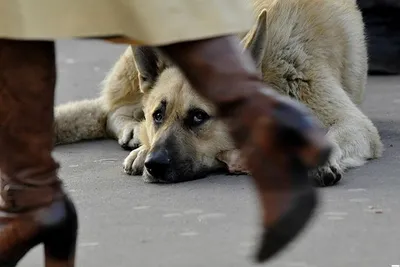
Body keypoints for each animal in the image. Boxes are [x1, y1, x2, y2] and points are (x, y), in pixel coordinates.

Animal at [53, 0, 382, 186]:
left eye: (199, 117)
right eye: (158, 115)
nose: (154, 165)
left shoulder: (353, 124)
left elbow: (333, 136)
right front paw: (143, 147)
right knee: (112, 109)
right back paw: (134, 132)